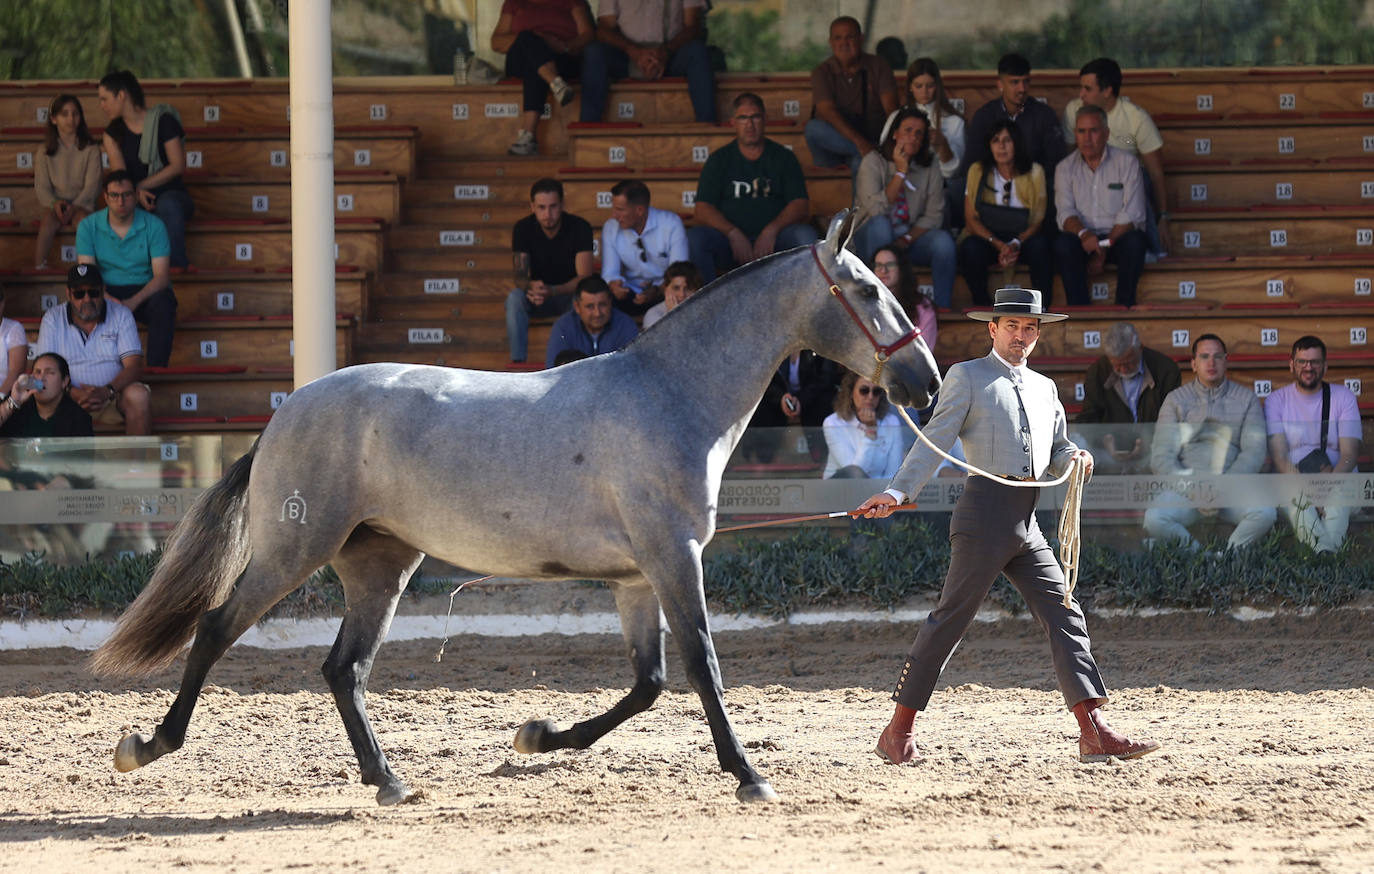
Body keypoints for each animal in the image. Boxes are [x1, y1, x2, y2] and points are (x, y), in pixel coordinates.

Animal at [88, 211, 945, 808]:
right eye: (867, 289)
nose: (927, 383)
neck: (670, 394)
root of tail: (283, 413)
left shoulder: (636, 578)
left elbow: (649, 682)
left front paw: (537, 736)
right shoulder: (674, 556)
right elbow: (703, 666)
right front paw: (748, 775)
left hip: (380, 564)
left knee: (344, 668)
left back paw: (388, 780)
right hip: (292, 550)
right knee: (216, 630)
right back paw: (148, 746)